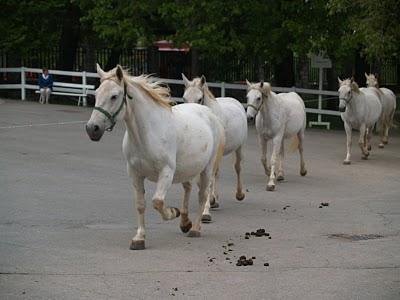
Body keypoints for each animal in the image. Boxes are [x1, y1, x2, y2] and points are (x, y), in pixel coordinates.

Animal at [85, 64, 225, 250]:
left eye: (114, 96)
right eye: (96, 94)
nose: (92, 128)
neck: (147, 134)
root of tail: (209, 113)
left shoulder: (166, 172)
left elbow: (157, 201)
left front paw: (172, 212)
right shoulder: (135, 174)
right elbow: (140, 205)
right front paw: (139, 238)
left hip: (207, 168)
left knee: (203, 194)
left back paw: (195, 228)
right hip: (187, 169)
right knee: (188, 188)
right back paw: (185, 222)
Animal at [181, 74, 247, 221]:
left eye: (199, 99)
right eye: (184, 98)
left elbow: (209, 179)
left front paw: (205, 212)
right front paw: (210, 201)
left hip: (239, 147)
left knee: (238, 167)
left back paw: (239, 194)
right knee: (217, 173)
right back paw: (214, 199)